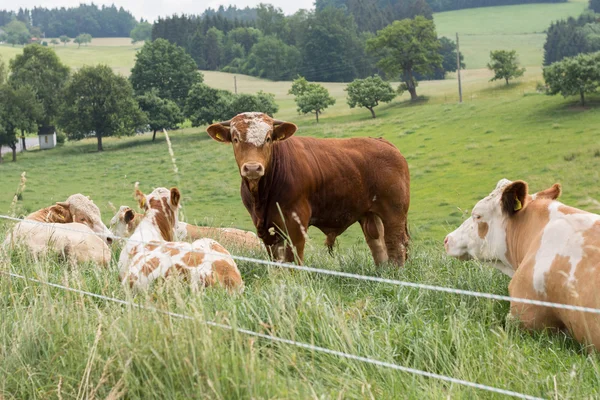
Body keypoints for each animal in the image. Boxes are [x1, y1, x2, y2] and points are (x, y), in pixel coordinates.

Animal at [205, 111, 408, 266]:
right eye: (236, 139)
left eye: (268, 138)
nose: (253, 168)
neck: (261, 196)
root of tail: (383, 142)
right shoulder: (266, 228)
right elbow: (277, 261)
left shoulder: (296, 223)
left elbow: (293, 259)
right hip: (369, 215)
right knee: (378, 245)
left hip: (394, 213)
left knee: (396, 245)